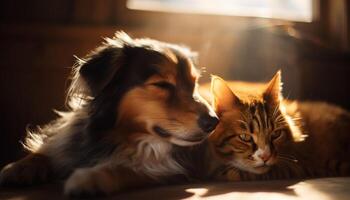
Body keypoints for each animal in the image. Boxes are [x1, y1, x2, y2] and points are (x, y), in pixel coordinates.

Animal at [0, 32, 219, 196]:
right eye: (161, 84)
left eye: (193, 84)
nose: (213, 122)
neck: (120, 135)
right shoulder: (70, 135)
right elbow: (52, 149)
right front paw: (19, 168)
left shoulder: (171, 169)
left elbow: (127, 168)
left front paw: (88, 178)